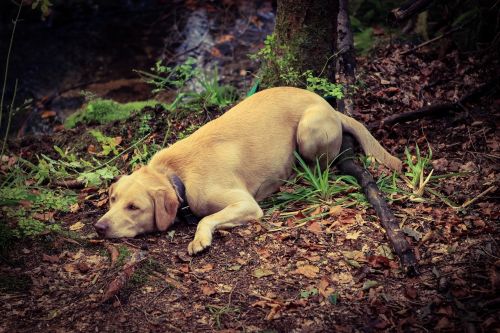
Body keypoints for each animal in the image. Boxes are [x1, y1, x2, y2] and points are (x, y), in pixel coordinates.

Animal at [94, 87, 402, 253]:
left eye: (134, 207)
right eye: (112, 200)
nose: (99, 227)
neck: (176, 175)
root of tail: (329, 106)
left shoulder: (245, 204)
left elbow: (207, 219)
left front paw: (200, 239)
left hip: (308, 130)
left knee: (322, 166)